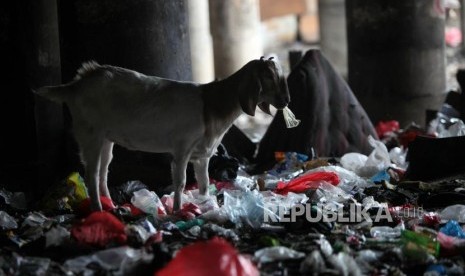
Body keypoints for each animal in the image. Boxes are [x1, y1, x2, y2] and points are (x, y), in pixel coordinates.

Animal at [37, 56, 290, 211]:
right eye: (268, 77)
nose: (286, 101)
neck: (211, 104)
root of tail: (74, 87)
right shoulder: (182, 147)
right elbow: (180, 181)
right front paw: (177, 210)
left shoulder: (203, 154)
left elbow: (204, 182)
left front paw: (205, 204)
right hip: (89, 133)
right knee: (90, 173)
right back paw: (98, 210)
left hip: (106, 138)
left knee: (103, 170)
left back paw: (111, 204)